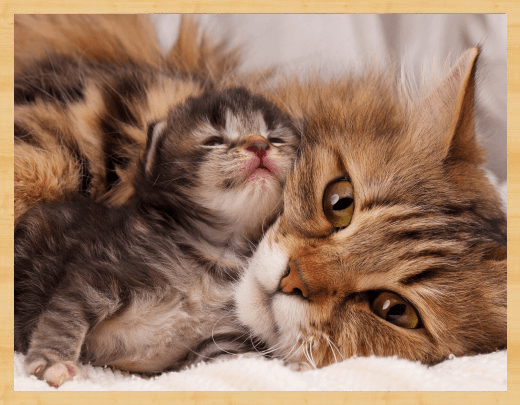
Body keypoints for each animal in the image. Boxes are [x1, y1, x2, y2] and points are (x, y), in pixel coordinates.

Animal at [14, 87, 298, 386]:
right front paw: (53, 360)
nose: (259, 146)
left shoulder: (224, 330)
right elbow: (65, 315)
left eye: (275, 138)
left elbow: (229, 357)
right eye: (214, 141)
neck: (217, 251)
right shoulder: (101, 274)